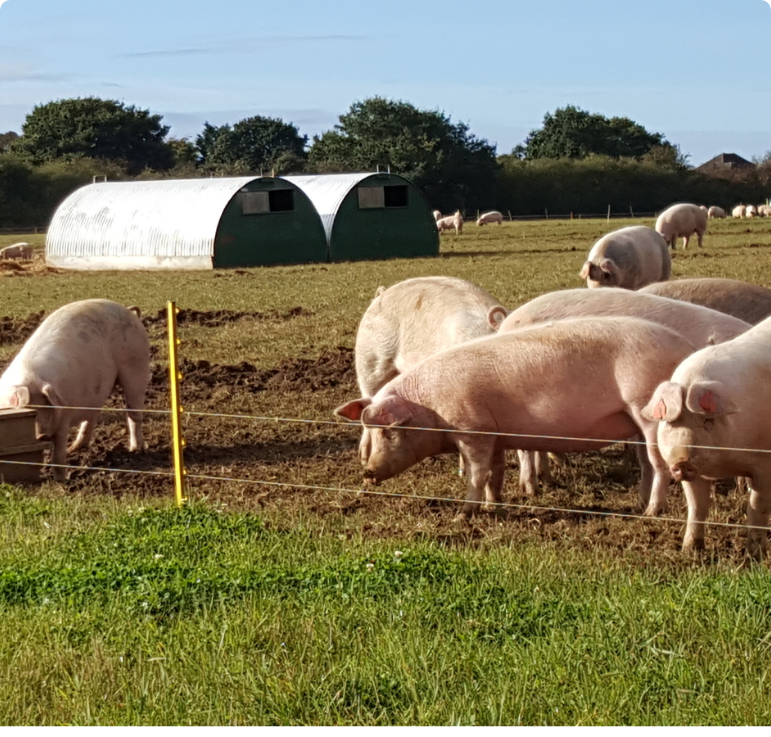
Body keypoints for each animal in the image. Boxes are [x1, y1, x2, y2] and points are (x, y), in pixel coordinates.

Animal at [0, 299, 151, 481]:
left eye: (44, 405)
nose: (41, 436)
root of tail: (128, 311)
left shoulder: (64, 413)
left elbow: (57, 454)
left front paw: (62, 481)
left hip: (136, 366)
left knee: (134, 412)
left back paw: (136, 450)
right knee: (92, 416)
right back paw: (75, 448)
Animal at [335, 316, 695, 519]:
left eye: (390, 431)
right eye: (368, 429)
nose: (368, 472)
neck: (429, 405)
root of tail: (684, 350)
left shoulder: (473, 430)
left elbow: (477, 474)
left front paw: (465, 515)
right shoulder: (495, 434)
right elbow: (495, 473)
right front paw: (494, 506)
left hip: (647, 410)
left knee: (659, 464)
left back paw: (651, 512)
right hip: (635, 420)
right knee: (647, 463)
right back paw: (639, 504)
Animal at [643, 316, 771, 556]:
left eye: (707, 420)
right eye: (672, 422)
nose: (682, 462)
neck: (727, 464)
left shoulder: (765, 464)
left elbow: (757, 508)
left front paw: (754, 555)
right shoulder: (696, 475)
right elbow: (697, 507)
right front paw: (689, 551)